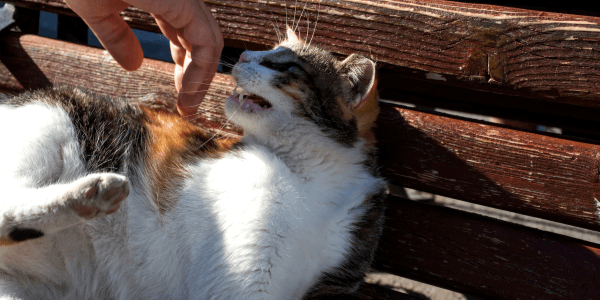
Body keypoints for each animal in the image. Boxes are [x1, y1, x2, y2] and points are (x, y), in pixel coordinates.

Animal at [0, 28, 384, 300]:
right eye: (266, 52)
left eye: (284, 64)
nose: (243, 53)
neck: (313, 179)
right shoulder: (245, 273)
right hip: (53, 116)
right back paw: (93, 193)